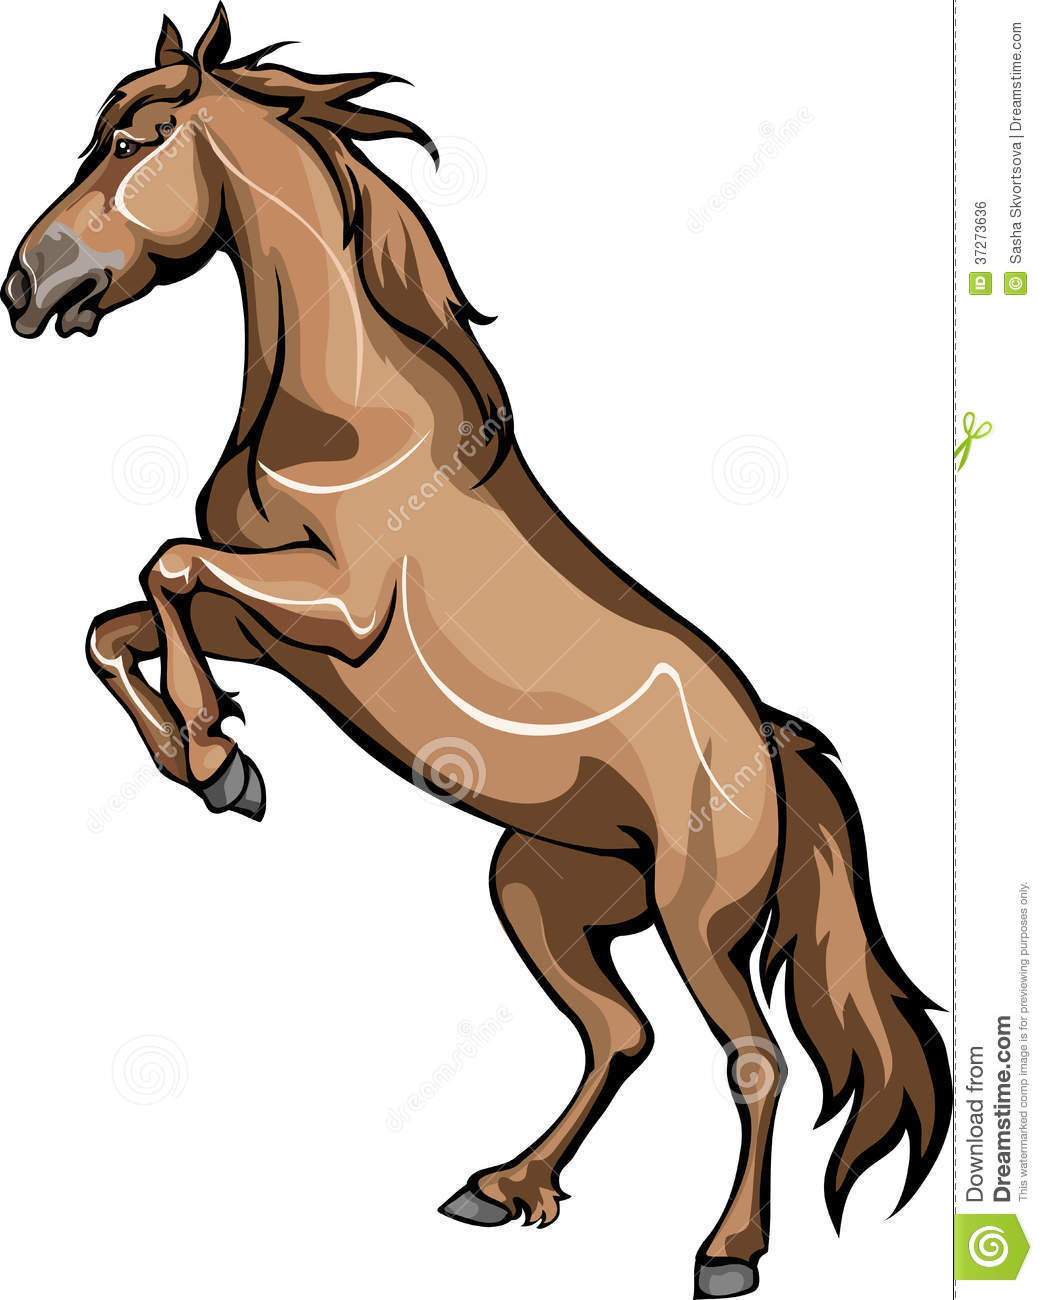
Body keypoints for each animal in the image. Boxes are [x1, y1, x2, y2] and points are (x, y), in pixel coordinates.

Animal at [3, 8, 951, 1296]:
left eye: (134, 140)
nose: (25, 284)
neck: (342, 413)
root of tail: (768, 742)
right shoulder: (278, 636)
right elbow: (115, 623)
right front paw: (217, 762)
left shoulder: (336, 610)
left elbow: (168, 564)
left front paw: (218, 761)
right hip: (538, 885)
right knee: (621, 1032)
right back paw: (502, 1188)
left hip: (697, 920)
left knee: (753, 1058)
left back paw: (725, 1251)